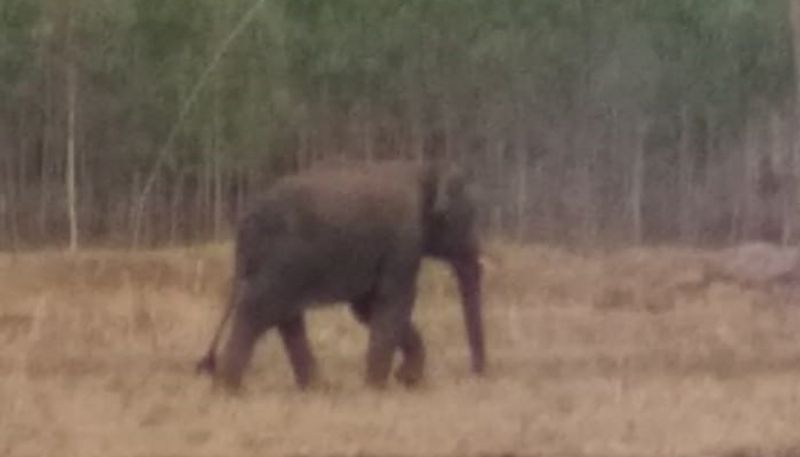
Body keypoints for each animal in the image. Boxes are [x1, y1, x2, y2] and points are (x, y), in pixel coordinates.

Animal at [197, 159, 484, 390]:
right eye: (469, 220)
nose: (478, 373)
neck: (424, 168)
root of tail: (245, 223)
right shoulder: (403, 242)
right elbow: (394, 300)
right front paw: (380, 386)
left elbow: (367, 308)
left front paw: (403, 379)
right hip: (282, 259)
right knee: (260, 308)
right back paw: (228, 390)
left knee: (285, 315)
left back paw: (316, 388)